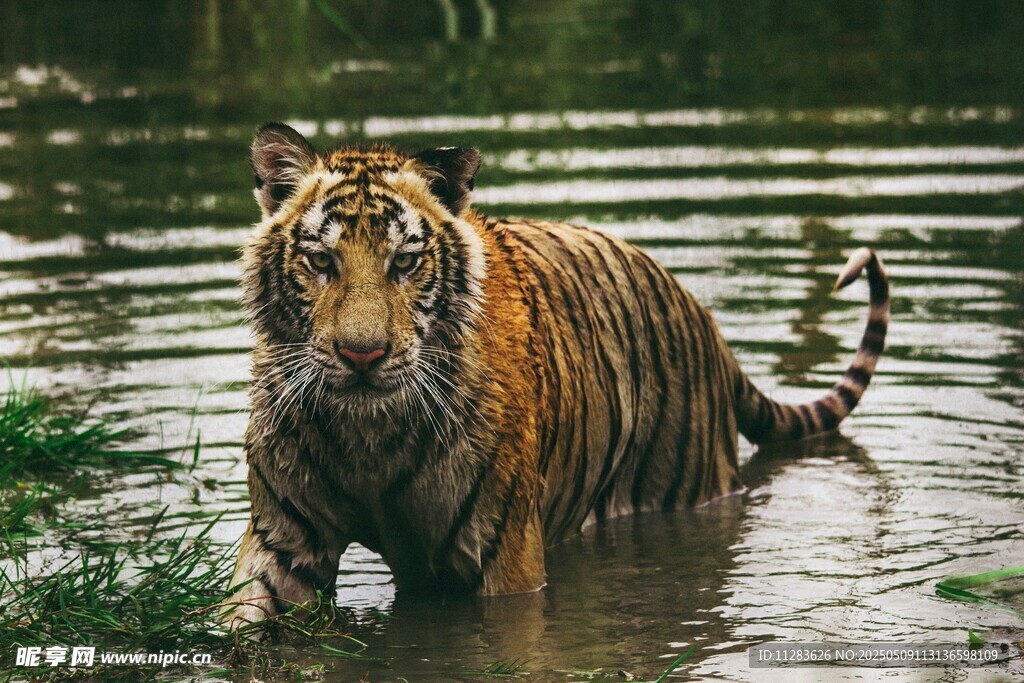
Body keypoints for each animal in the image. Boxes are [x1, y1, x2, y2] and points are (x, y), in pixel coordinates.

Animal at [220, 123, 889, 630]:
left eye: (405, 263)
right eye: (320, 261)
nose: (362, 355)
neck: (368, 437)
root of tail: (706, 321)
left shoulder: (503, 556)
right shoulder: (284, 541)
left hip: (686, 489)